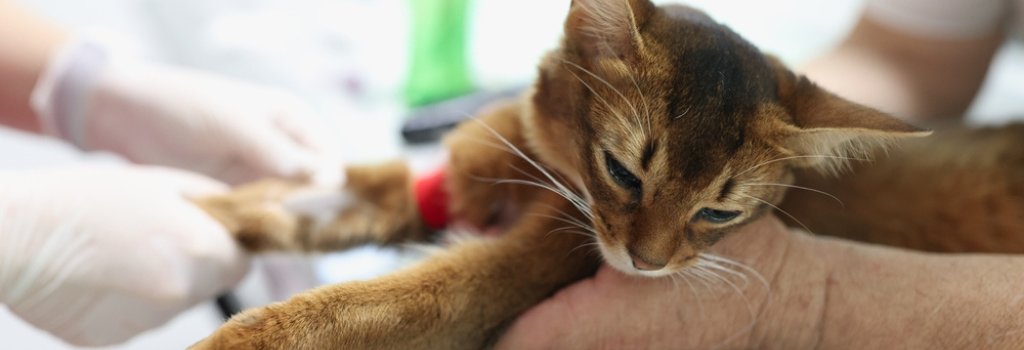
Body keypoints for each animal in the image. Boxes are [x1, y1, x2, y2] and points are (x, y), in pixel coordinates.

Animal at [184, 0, 1024, 347]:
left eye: (719, 214)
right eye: (622, 171)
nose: (645, 264)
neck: (541, 167)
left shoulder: (505, 283)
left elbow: (370, 308)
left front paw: (236, 341)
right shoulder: (453, 188)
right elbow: (337, 195)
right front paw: (196, 212)